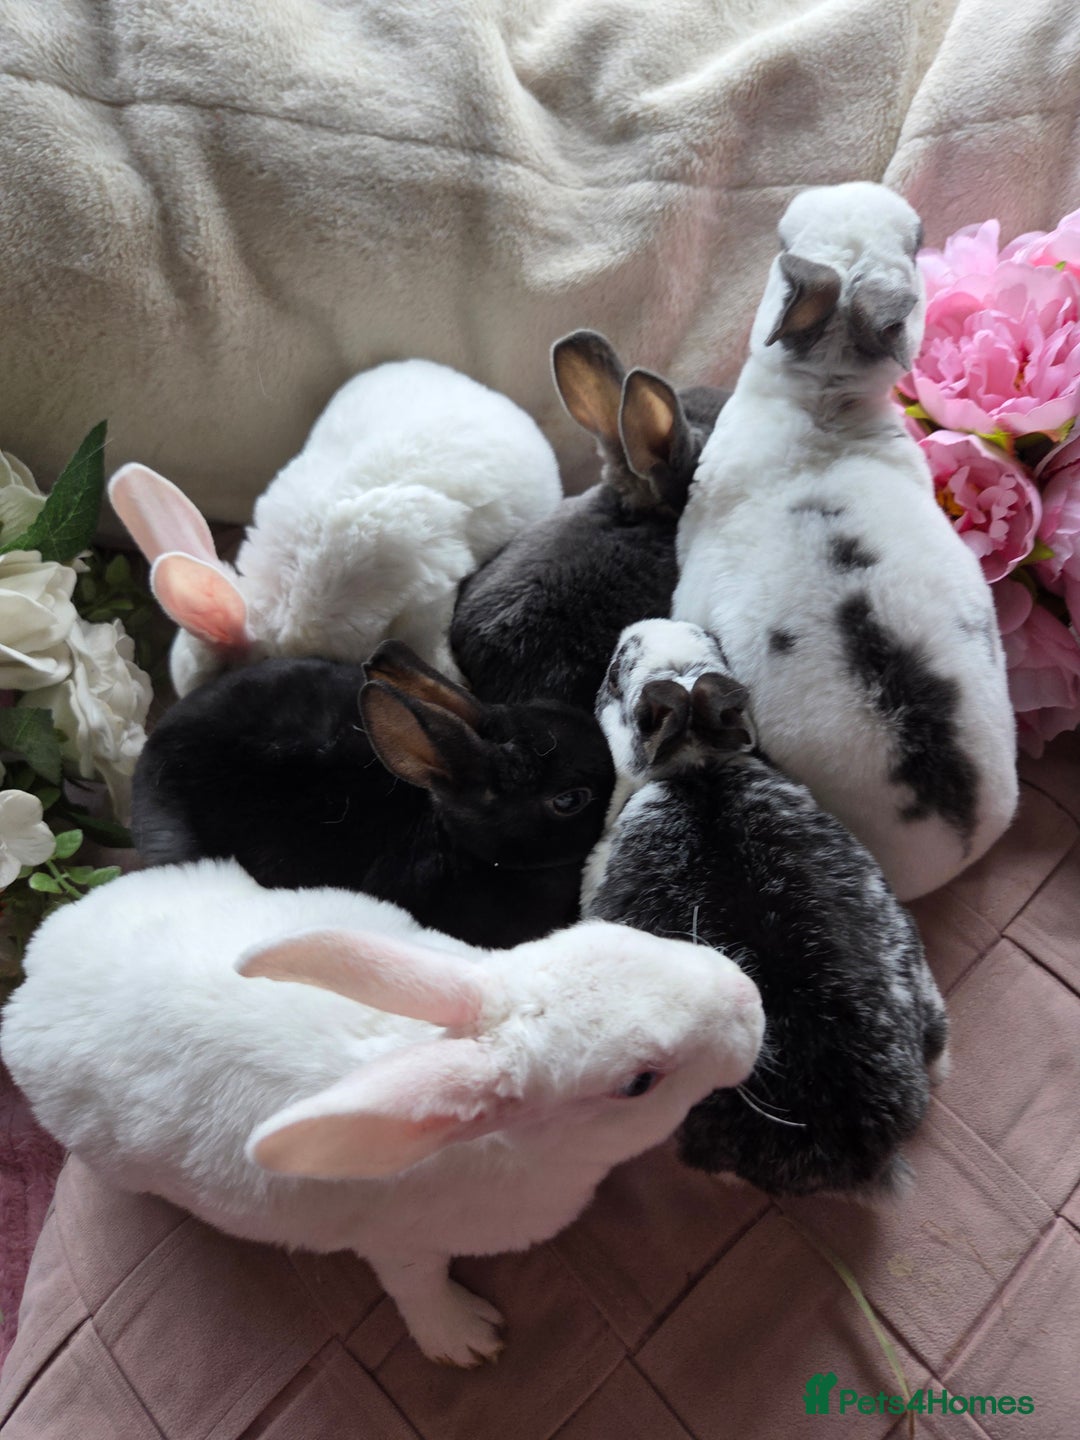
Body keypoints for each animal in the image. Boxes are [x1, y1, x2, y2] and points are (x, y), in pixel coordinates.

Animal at [0, 856, 764, 1365]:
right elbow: (413, 1285)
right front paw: (467, 1341)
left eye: (618, 937)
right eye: (639, 1083)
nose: (750, 999)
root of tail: (33, 976)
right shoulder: (401, 1242)